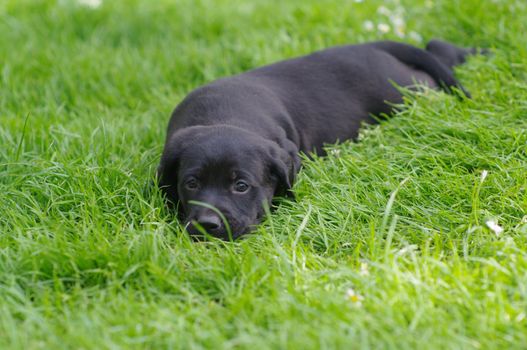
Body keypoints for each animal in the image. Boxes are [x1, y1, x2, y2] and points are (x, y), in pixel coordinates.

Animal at [159, 39, 480, 239]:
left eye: (241, 186)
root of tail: (370, 45)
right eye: (191, 184)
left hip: (403, 89)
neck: (224, 115)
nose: (207, 225)